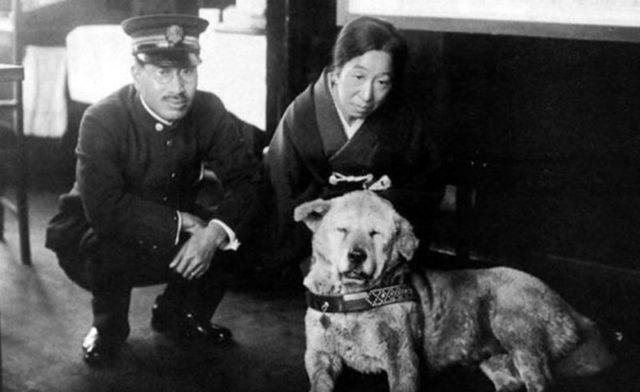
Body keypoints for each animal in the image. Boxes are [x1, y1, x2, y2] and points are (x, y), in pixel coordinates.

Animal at [296, 191, 616, 392]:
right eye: (342, 229)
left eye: (375, 234)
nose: (356, 256)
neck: (352, 299)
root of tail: (573, 311)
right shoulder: (319, 356)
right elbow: (318, 383)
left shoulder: (404, 361)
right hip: (496, 359)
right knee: (512, 383)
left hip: (515, 325)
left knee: (539, 382)